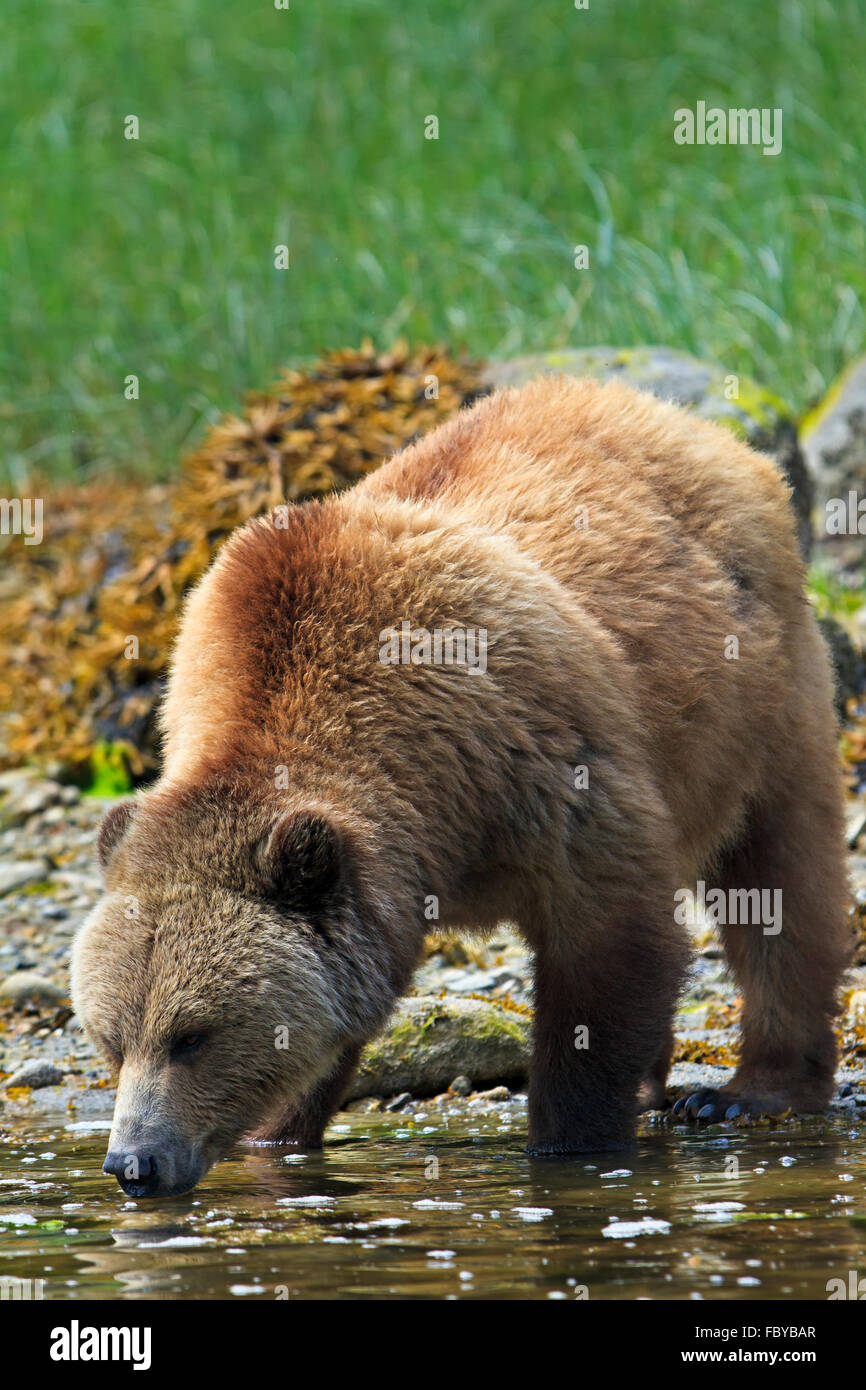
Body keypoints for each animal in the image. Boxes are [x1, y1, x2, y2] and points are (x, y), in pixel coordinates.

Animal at [71, 378, 850, 1195]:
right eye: (111, 1038)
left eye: (192, 1035)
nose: (134, 1163)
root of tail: (684, 422)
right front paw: (277, 1136)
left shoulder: (535, 765)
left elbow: (607, 945)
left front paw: (571, 1141)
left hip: (758, 699)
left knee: (781, 881)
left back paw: (750, 1090)